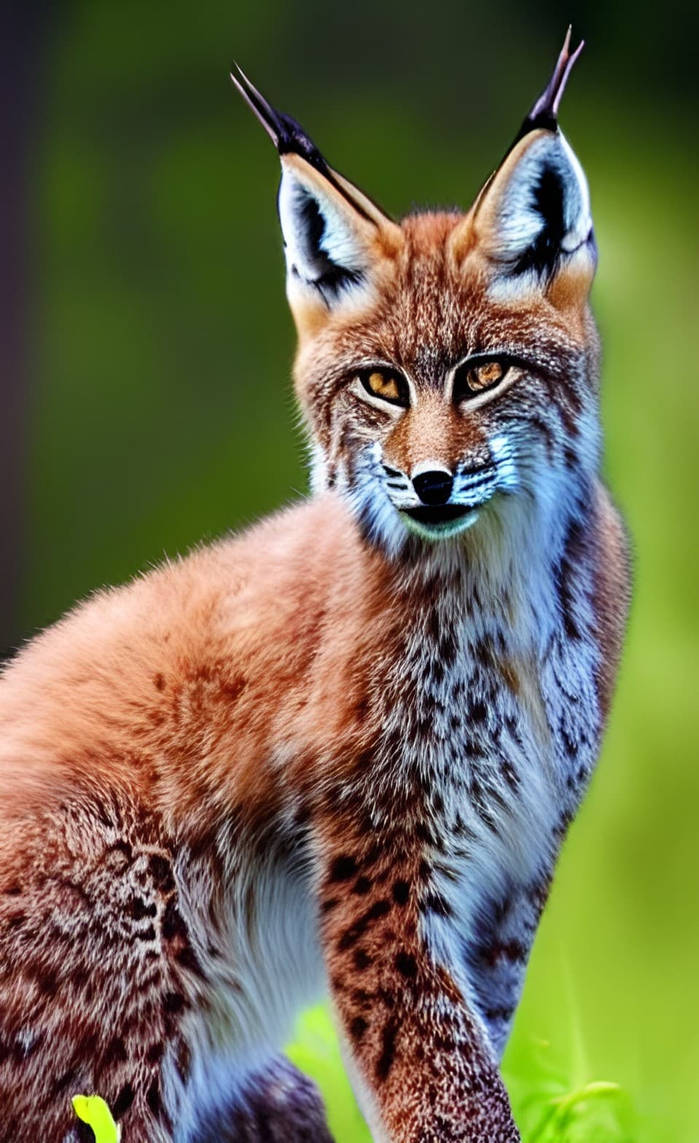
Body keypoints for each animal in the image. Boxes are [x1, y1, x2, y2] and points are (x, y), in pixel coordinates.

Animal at [0, 29, 630, 1143]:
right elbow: (445, 1084)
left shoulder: (515, 877)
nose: (430, 481)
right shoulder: (386, 855)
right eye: (381, 385)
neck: (503, 577)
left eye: (484, 375)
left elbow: (473, 1060)